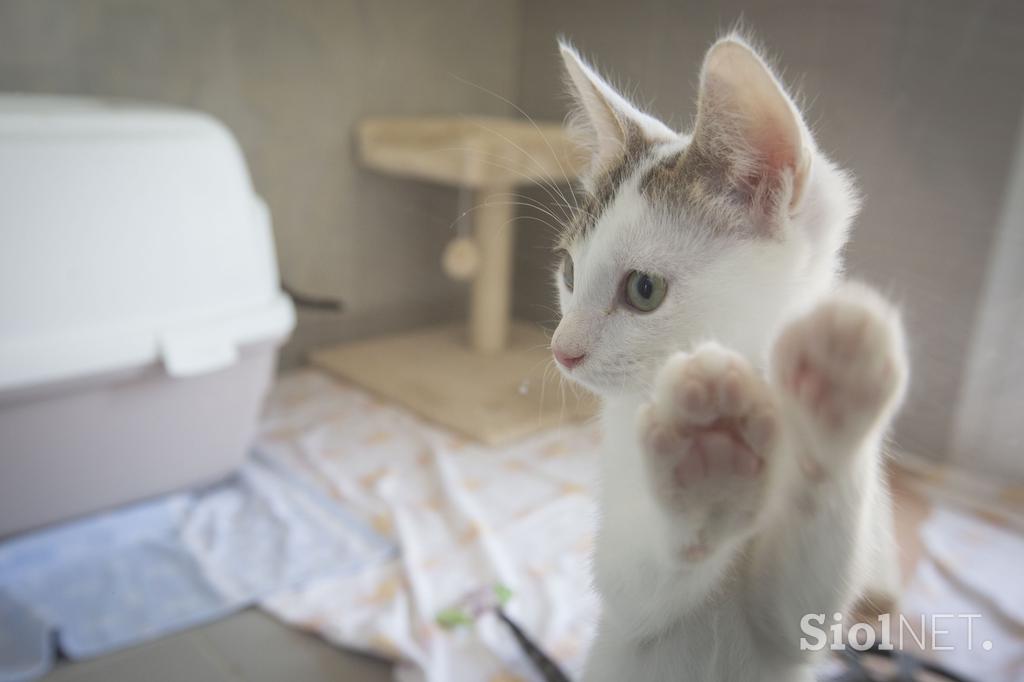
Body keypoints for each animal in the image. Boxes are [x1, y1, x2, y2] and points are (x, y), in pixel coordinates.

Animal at [548, 34, 909, 675]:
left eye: (644, 290)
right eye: (569, 273)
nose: (561, 351)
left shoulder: (793, 628)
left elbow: (797, 606)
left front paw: (832, 401)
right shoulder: (624, 596)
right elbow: (632, 587)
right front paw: (707, 475)